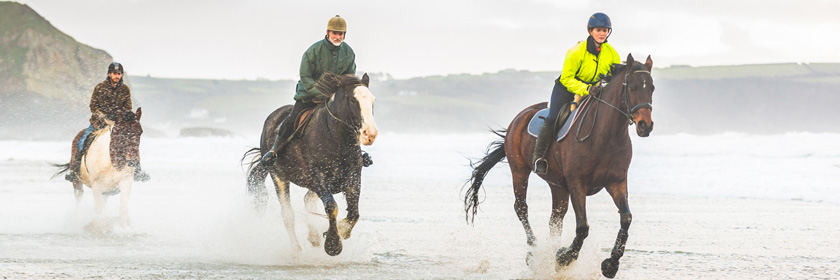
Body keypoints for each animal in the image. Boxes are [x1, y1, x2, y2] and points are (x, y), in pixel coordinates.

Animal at [241, 72, 376, 256]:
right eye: (352, 100)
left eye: (372, 101)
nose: (370, 134)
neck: (336, 138)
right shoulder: (318, 177)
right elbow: (332, 207)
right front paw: (333, 244)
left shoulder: (354, 179)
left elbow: (354, 213)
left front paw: (341, 231)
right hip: (278, 176)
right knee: (288, 215)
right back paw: (296, 249)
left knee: (307, 200)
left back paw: (314, 238)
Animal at [462, 54, 652, 278]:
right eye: (632, 88)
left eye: (651, 88)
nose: (645, 126)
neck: (605, 136)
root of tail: (519, 117)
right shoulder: (577, 183)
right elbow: (582, 227)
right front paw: (564, 257)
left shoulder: (617, 182)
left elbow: (626, 219)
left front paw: (611, 264)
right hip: (519, 170)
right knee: (521, 208)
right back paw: (534, 252)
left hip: (558, 185)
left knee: (556, 218)